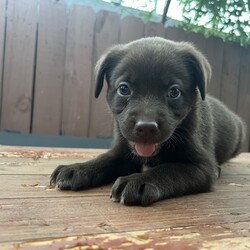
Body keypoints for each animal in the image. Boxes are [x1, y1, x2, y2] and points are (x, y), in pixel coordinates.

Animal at [49, 36, 245, 205]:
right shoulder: (124, 151)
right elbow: (105, 158)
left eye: (174, 91)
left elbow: (170, 169)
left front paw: (139, 180)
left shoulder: (202, 166)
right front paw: (78, 168)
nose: (146, 128)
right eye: (124, 89)